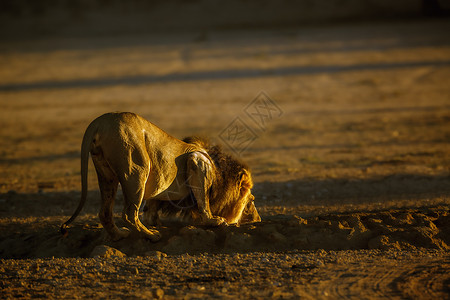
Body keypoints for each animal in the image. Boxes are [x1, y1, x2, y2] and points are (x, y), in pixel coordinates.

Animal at [62, 112, 260, 241]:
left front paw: (155, 221)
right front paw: (214, 221)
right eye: (251, 201)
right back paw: (151, 236)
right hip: (137, 168)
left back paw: (119, 235)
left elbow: (152, 207)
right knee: (128, 214)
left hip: (106, 173)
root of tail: (100, 121)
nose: (258, 219)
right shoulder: (197, 161)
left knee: (105, 212)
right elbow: (203, 201)